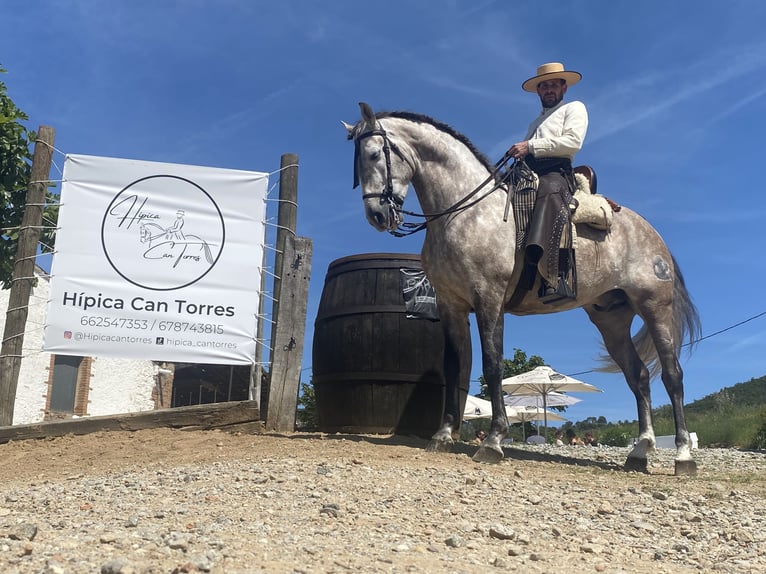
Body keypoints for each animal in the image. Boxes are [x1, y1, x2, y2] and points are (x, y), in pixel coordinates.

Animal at [344, 102, 704, 476]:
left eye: (374, 154)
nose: (377, 216)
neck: (465, 214)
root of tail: (653, 235)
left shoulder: (488, 299)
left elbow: (492, 365)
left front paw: (493, 441)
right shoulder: (450, 305)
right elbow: (453, 366)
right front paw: (442, 436)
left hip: (654, 308)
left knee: (673, 376)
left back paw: (683, 456)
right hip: (612, 321)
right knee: (639, 377)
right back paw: (640, 451)